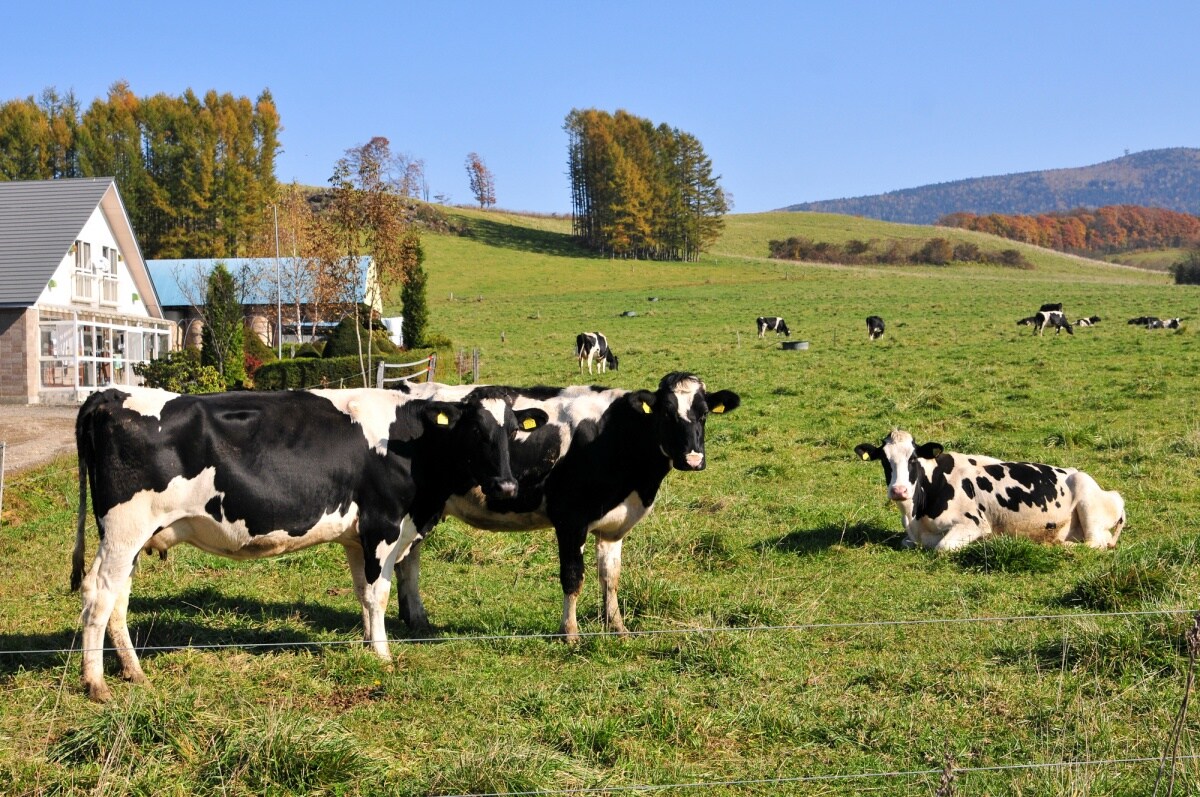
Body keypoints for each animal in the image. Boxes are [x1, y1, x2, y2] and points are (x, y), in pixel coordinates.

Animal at [70, 386, 549, 705]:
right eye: (475, 430)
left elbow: (362, 594)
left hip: (131, 537)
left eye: (512, 431)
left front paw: (366, 645)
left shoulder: (356, 536)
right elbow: (379, 594)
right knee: (98, 594)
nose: (506, 486)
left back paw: (134, 672)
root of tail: (110, 395)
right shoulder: (383, 525)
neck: (412, 444)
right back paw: (97, 684)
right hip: (125, 528)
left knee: (118, 599)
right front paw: (383, 656)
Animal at [398, 374, 739, 643]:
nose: (693, 459)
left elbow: (610, 577)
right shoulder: (570, 519)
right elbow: (573, 576)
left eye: (704, 414)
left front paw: (618, 628)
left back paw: (415, 619)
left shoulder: (613, 526)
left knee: (408, 558)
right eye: (666, 414)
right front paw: (569, 633)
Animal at [854, 429, 1123, 554]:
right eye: (884, 460)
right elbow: (906, 542)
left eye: (913, 459)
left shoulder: (973, 523)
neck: (915, 513)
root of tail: (1114, 494)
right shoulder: (911, 537)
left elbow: (943, 547)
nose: (898, 490)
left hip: (1087, 500)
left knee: (1095, 543)